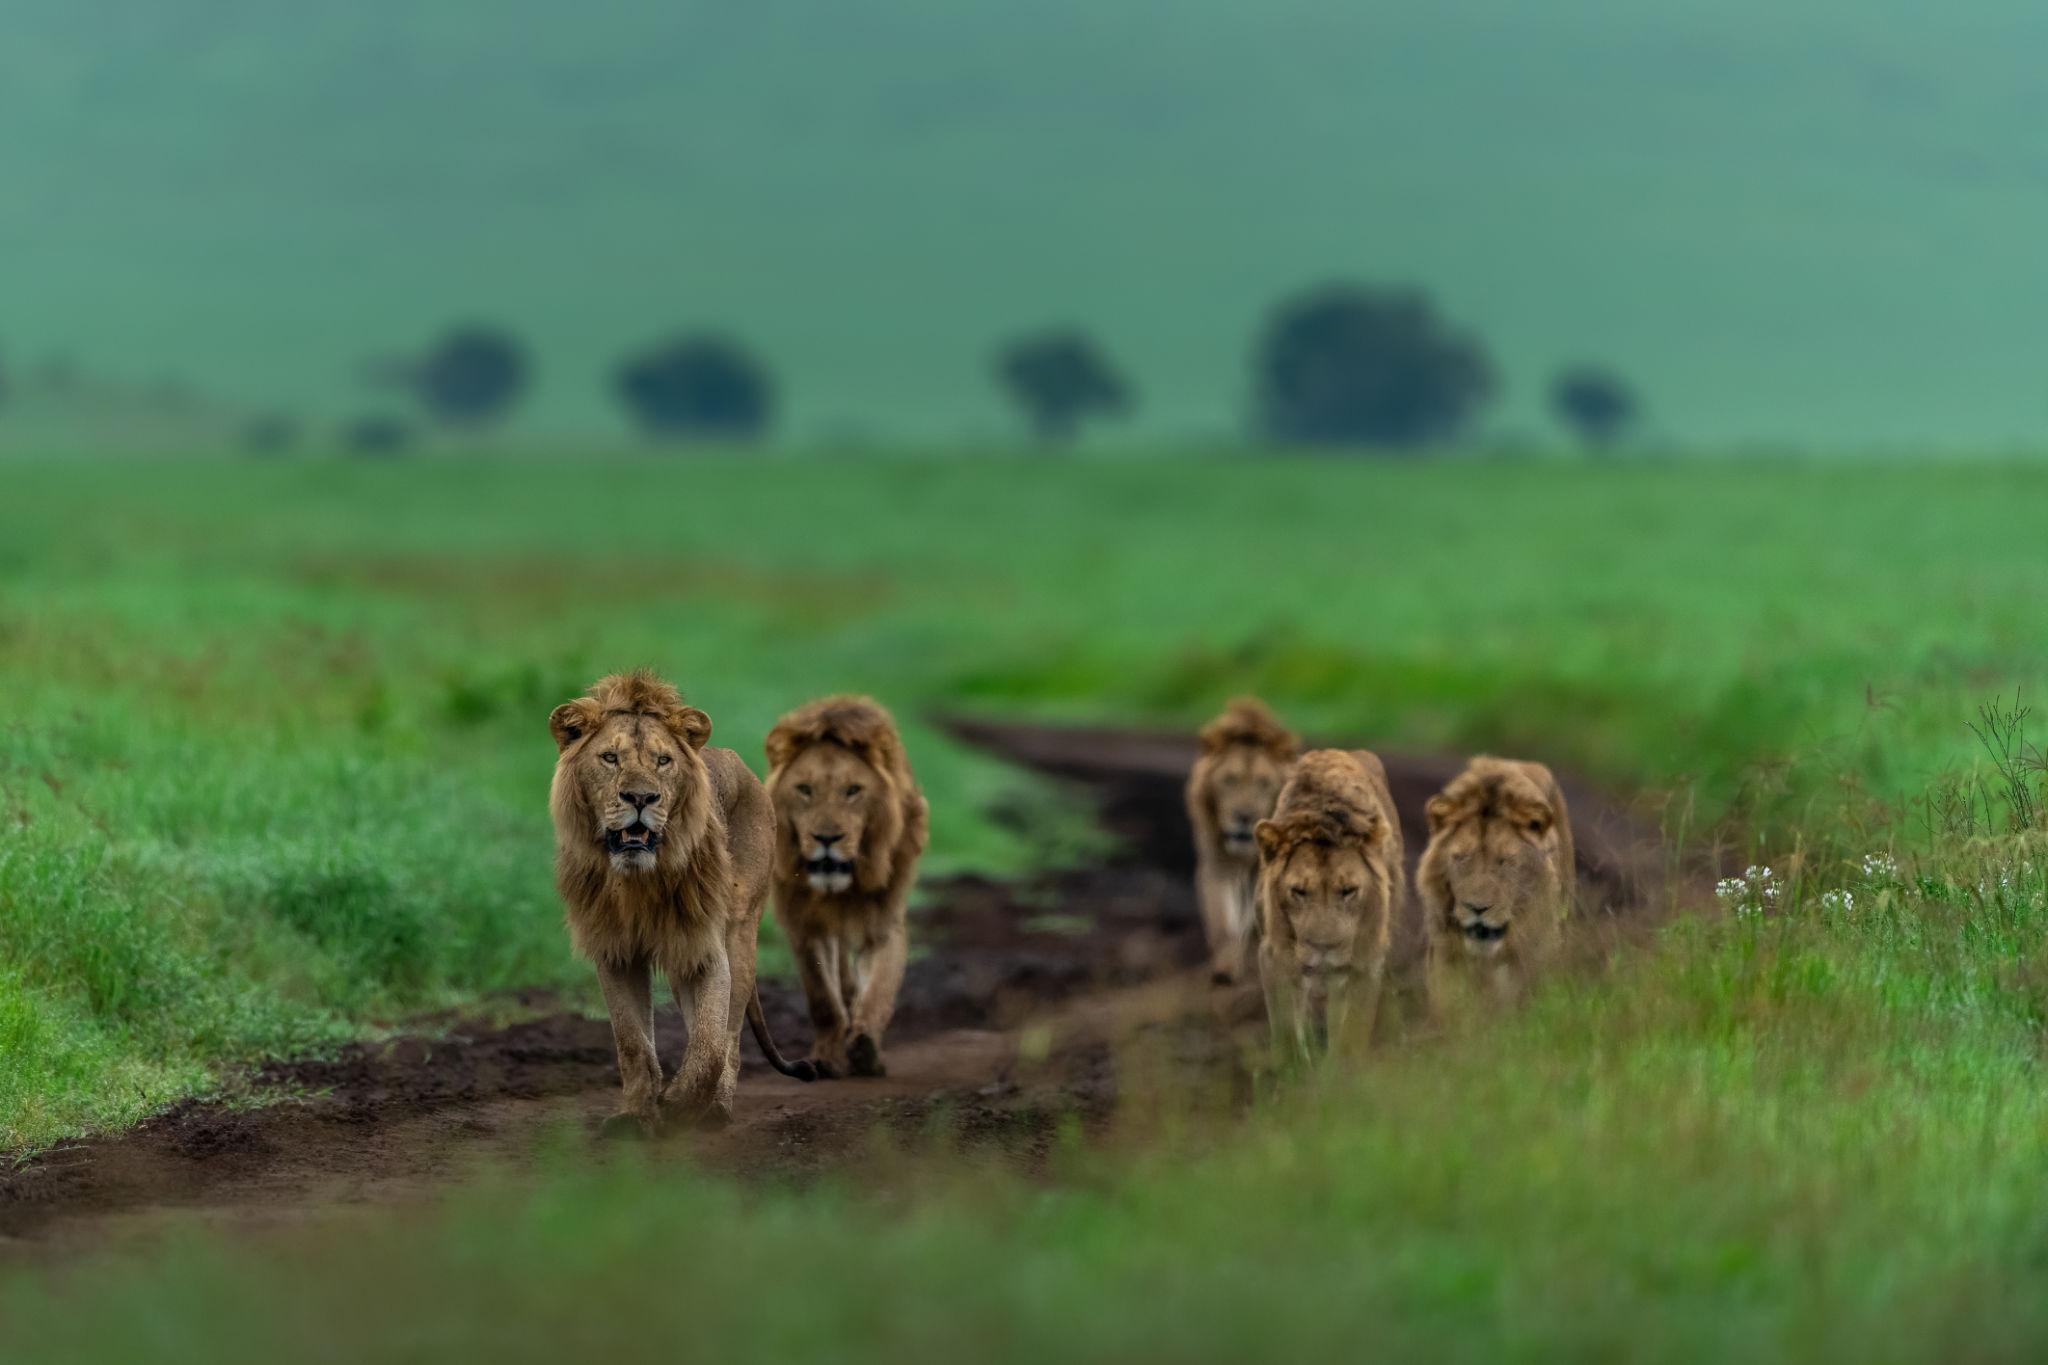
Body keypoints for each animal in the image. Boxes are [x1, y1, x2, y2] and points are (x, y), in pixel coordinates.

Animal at [549, 670, 814, 1137]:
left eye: (662, 761)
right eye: (610, 758)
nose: (641, 798)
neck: (638, 880)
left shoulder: (705, 948)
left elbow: (711, 1042)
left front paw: (683, 1104)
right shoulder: (615, 950)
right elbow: (633, 1042)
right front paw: (637, 1115)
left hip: (739, 932)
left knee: (729, 1037)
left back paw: (716, 1109)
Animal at [764, 695, 929, 1079]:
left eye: (853, 791)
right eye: (804, 790)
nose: (827, 839)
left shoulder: (884, 922)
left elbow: (879, 989)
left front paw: (865, 1047)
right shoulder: (805, 924)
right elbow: (823, 998)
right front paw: (827, 1056)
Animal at [1185, 697, 1298, 984]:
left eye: (1264, 782)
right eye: (1229, 780)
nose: (1244, 816)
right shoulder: (1218, 863)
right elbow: (1223, 919)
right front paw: (1226, 968)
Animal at [1253, 748, 1405, 1057]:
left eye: (1348, 891)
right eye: (1298, 891)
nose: (1323, 948)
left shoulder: (1365, 963)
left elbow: (1350, 1038)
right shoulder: (1274, 957)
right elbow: (1287, 1034)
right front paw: (1293, 1067)